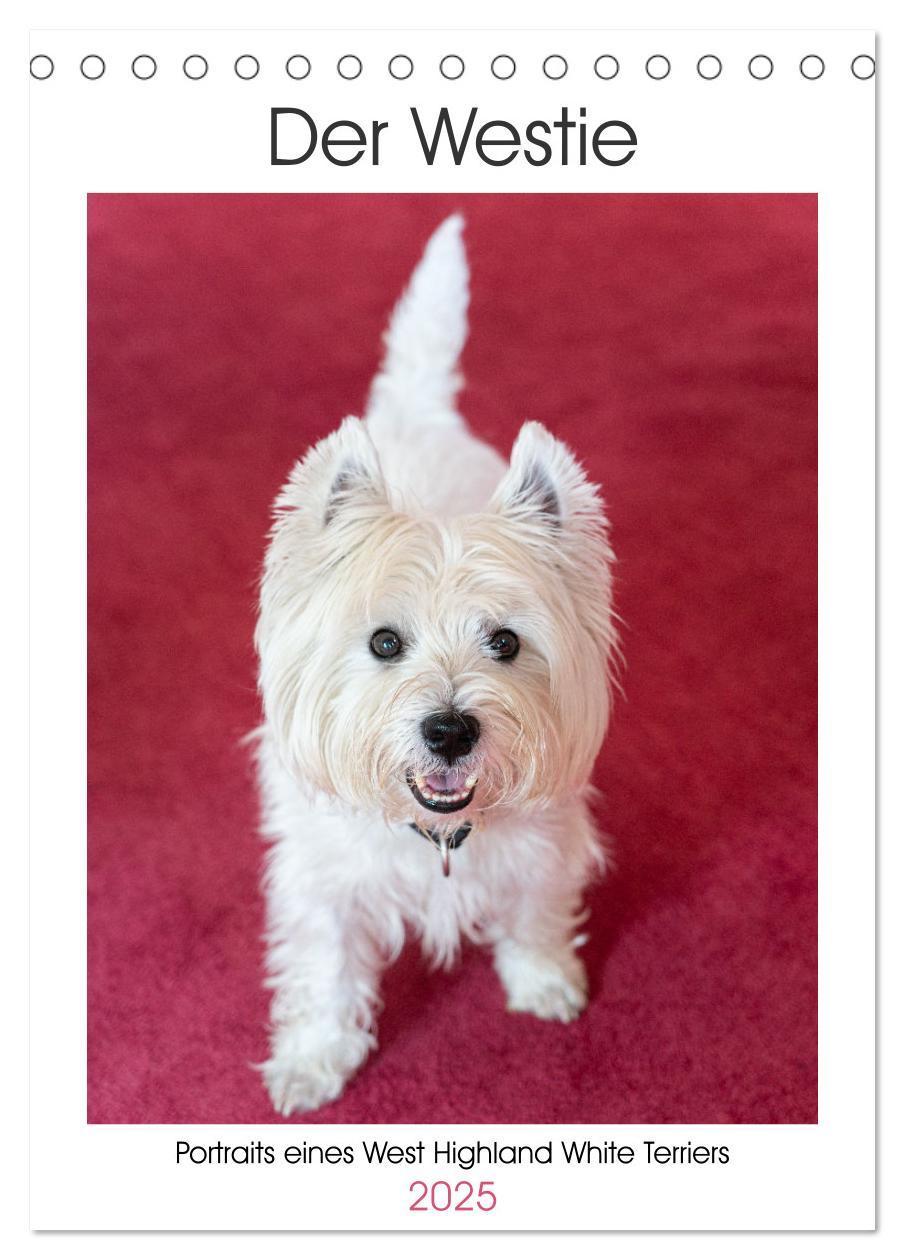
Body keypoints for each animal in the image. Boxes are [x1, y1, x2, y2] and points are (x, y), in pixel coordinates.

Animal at [258, 214, 620, 1113]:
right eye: (384, 642)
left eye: (506, 642)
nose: (450, 730)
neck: (437, 832)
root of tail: (417, 417)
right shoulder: (322, 878)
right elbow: (325, 967)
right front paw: (314, 1060)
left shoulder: (546, 841)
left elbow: (535, 911)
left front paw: (544, 982)